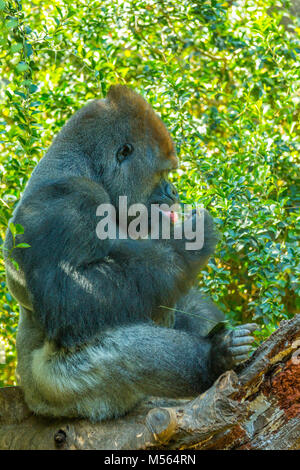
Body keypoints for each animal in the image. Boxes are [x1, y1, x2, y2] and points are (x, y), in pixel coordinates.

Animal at [3, 85, 256, 422]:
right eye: (161, 174)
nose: (174, 193)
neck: (88, 169)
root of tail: (29, 396)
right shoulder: (67, 203)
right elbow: (70, 296)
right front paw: (187, 242)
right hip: (55, 394)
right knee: (118, 349)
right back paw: (211, 360)